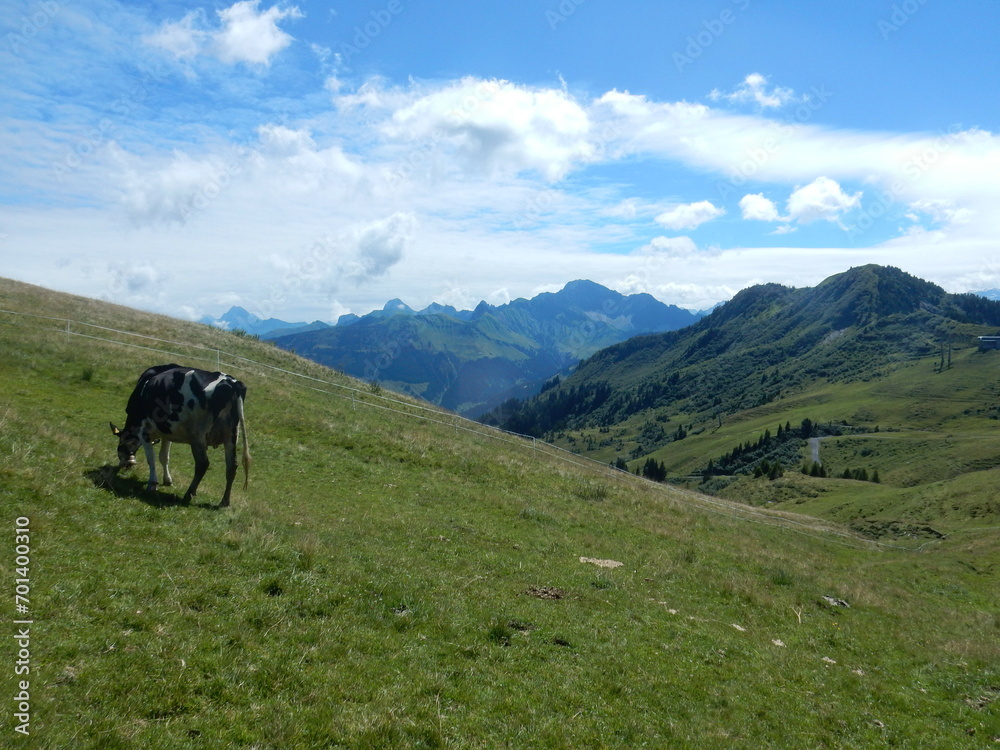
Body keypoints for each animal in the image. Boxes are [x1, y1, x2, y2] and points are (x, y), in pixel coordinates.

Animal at [109, 366, 248, 508]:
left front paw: (152, 484)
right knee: (232, 466)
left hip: (198, 437)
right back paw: (224, 501)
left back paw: (188, 495)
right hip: (231, 437)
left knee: (202, 464)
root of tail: (233, 384)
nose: (126, 465)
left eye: (120, 448)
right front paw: (167, 480)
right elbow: (164, 457)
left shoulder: (144, 430)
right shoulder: (167, 432)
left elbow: (151, 458)